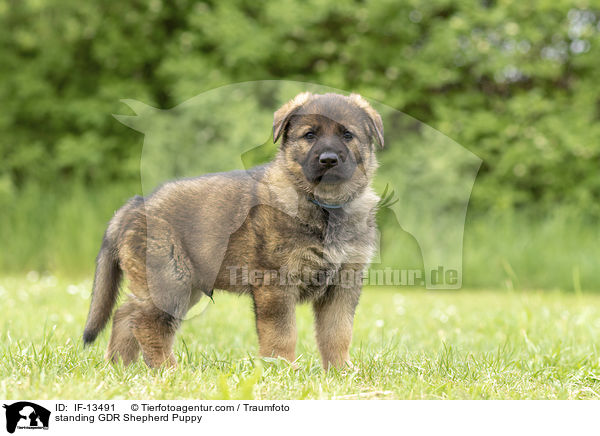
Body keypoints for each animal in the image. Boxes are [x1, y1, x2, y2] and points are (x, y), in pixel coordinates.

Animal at [82, 92, 384, 368]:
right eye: (309, 135)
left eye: (347, 135)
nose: (329, 159)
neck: (325, 206)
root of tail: (134, 205)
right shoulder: (275, 283)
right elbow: (282, 333)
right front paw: (282, 368)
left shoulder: (343, 284)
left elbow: (337, 333)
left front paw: (340, 371)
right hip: (169, 279)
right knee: (147, 322)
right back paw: (168, 369)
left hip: (182, 284)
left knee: (126, 314)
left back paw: (121, 366)